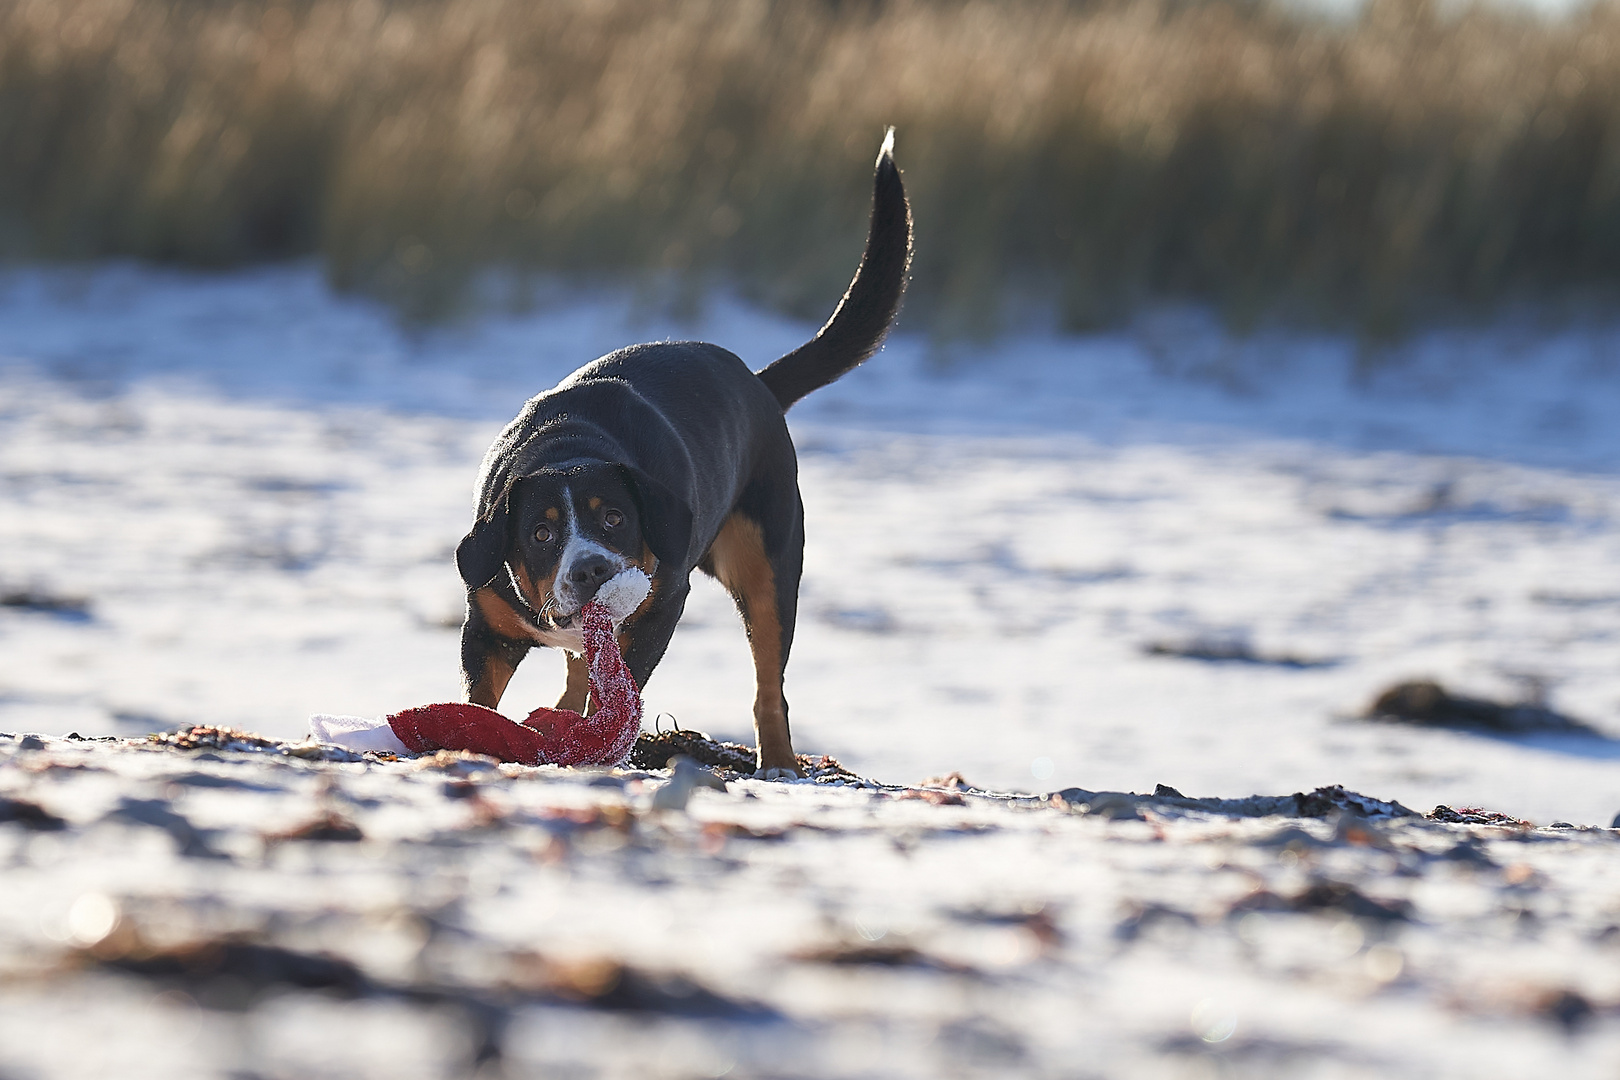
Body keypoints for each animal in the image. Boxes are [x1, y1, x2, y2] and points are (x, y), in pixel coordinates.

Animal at [456, 132, 913, 777]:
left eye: (615, 518)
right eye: (540, 534)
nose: (592, 568)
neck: (567, 442)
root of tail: (757, 384)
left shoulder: (661, 606)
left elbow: (617, 692)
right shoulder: (487, 628)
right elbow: (486, 697)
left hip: (768, 566)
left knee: (769, 684)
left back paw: (778, 762)